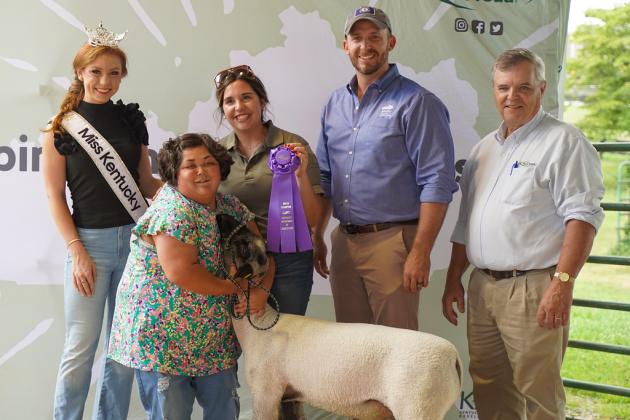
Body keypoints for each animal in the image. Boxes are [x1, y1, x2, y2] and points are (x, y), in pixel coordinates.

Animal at [218, 215, 464, 418]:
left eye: (244, 246)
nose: (222, 216)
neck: (258, 325)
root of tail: (453, 356)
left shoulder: (266, 395)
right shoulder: (292, 396)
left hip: (418, 407)